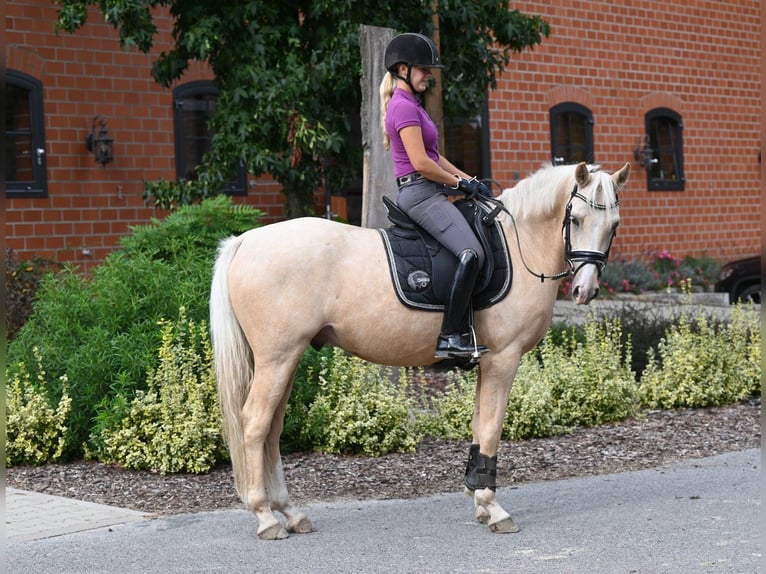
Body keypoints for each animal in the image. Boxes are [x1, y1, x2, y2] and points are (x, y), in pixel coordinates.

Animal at [208, 161, 632, 540]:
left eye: (614, 226)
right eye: (575, 219)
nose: (585, 291)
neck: (518, 243)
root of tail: (245, 240)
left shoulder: (486, 362)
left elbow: (478, 424)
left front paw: (478, 498)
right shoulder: (503, 359)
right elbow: (492, 428)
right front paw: (493, 507)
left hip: (284, 360)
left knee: (272, 430)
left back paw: (290, 513)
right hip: (278, 359)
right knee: (255, 424)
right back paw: (265, 516)